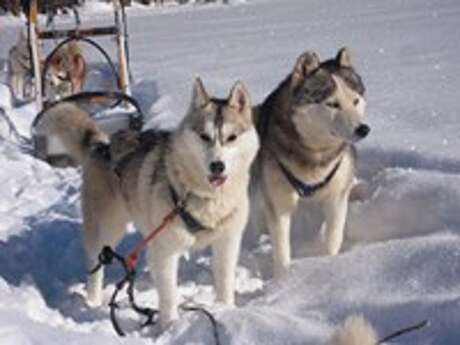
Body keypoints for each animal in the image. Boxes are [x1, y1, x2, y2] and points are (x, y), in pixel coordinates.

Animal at [36, 78, 258, 328]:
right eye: (204, 136)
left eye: (232, 138)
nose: (217, 166)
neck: (204, 197)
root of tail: (103, 145)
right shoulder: (165, 252)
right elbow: (169, 297)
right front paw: (170, 327)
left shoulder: (227, 243)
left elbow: (224, 282)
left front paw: (225, 310)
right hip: (107, 229)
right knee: (96, 265)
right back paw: (92, 302)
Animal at [255, 47, 370, 276]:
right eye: (332, 104)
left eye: (355, 100)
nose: (363, 129)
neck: (315, 155)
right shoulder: (279, 202)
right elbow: (281, 249)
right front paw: (284, 277)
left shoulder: (336, 197)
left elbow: (333, 237)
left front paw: (327, 265)